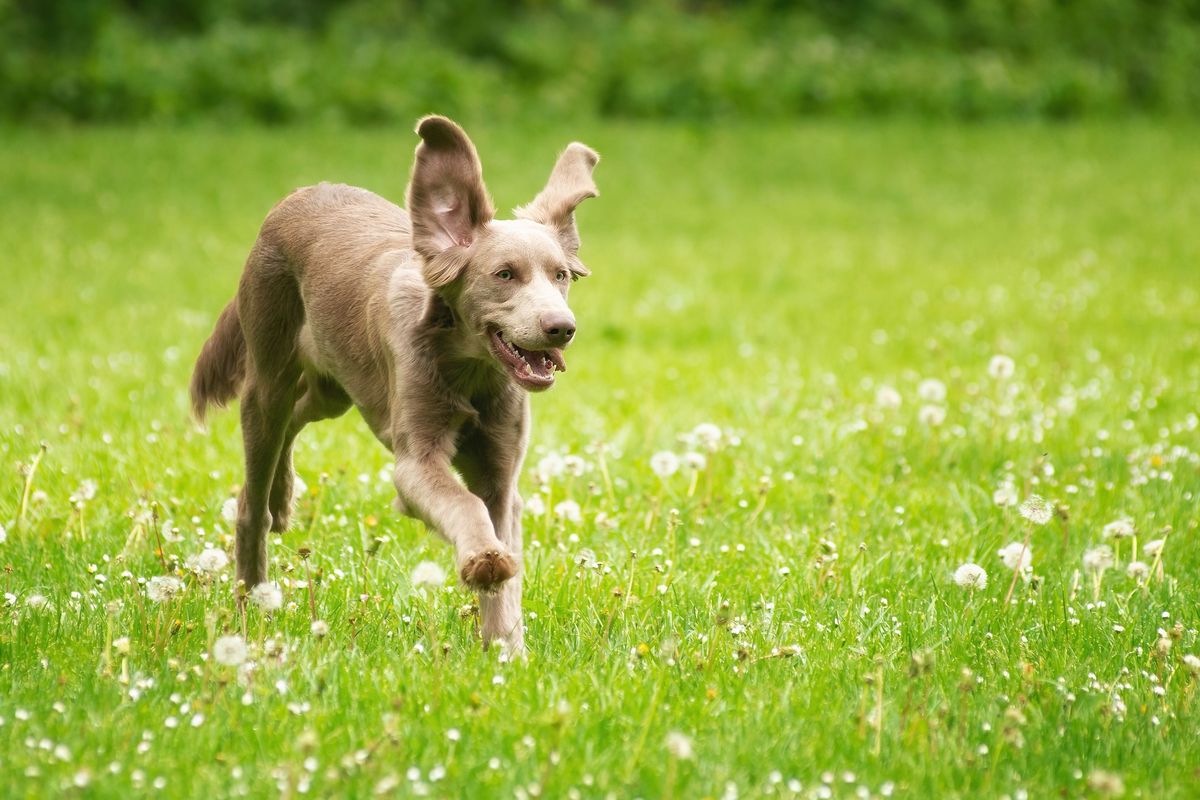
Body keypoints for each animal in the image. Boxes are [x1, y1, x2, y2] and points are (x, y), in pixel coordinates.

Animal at [189, 115, 597, 652]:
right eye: (505, 275)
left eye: (561, 276)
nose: (562, 328)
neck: (467, 370)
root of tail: (297, 196)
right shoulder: (415, 463)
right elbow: (465, 504)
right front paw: (484, 562)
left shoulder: (502, 472)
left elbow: (503, 548)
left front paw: (506, 646)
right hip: (268, 379)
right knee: (251, 498)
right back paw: (251, 598)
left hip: (334, 389)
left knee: (297, 420)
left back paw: (282, 495)